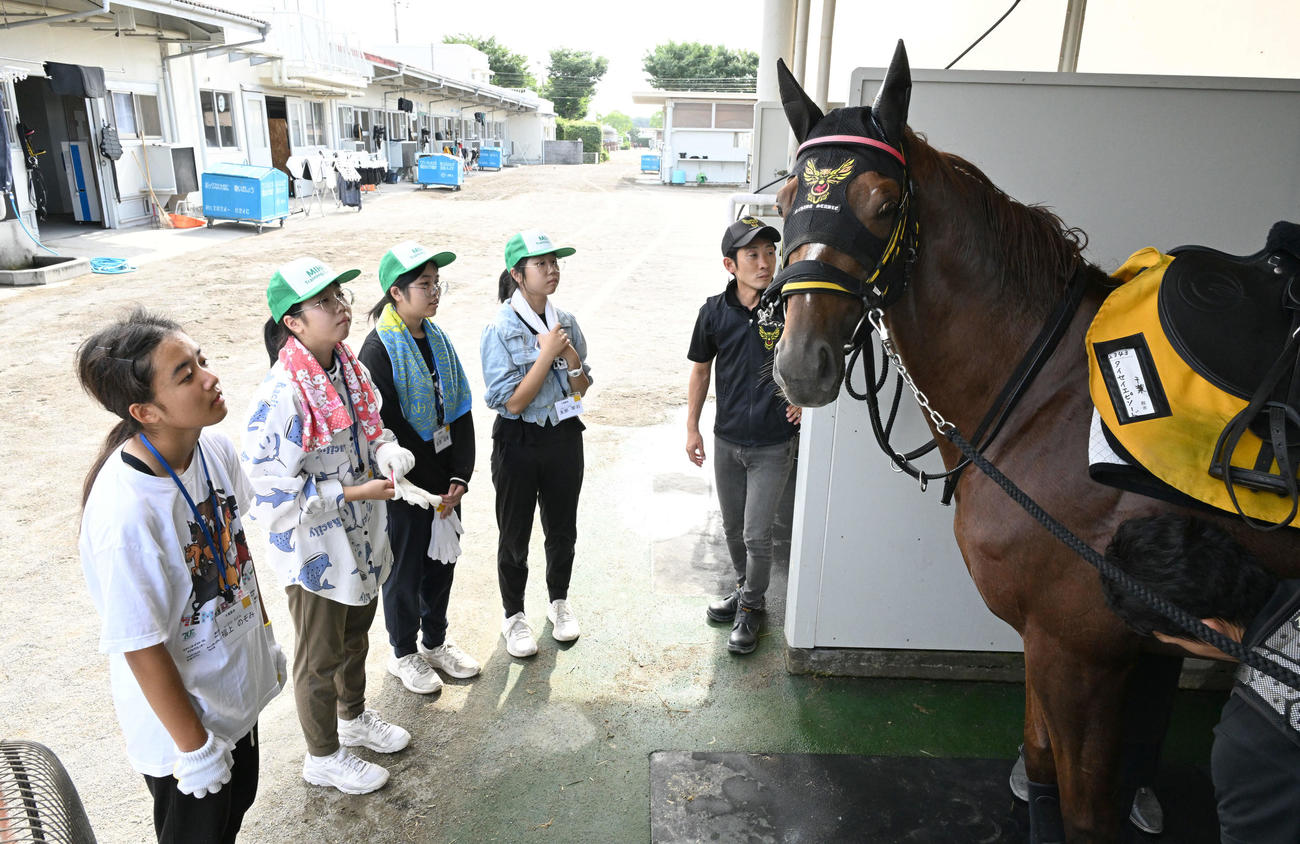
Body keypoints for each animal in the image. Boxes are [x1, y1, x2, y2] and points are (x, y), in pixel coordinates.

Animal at [767, 42, 1300, 842]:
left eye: (884, 205)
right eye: (784, 203)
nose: (801, 363)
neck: (1045, 399)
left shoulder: (1082, 654)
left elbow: (1081, 811)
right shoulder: (1046, 643)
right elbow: (1042, 769)